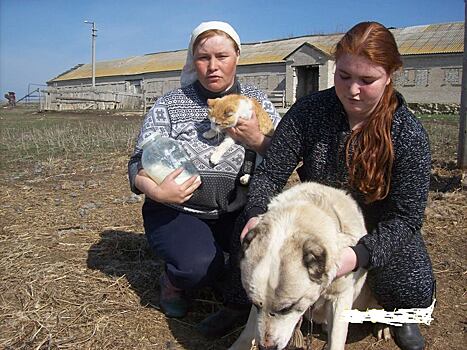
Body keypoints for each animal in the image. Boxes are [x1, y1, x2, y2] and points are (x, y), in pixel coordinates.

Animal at [231, 182, 392, 348]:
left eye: (287, 308)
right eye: (256, 305)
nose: (267, 347)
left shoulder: (340, 297)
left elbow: (336, 340)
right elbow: (249, 328)